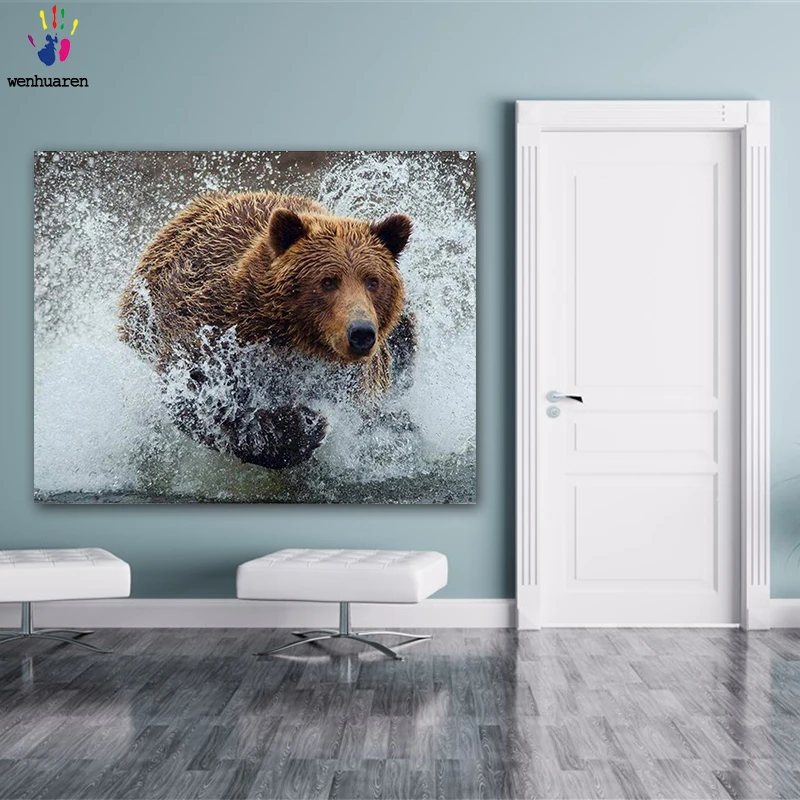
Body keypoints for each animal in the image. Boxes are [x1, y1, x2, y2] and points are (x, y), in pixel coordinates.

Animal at [119, 191, 416, 470]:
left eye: (373, 281)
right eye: (328, 281)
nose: (361, 333)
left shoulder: (354, 377)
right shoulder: (211, 329)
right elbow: (199, 396)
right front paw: (301, 425)